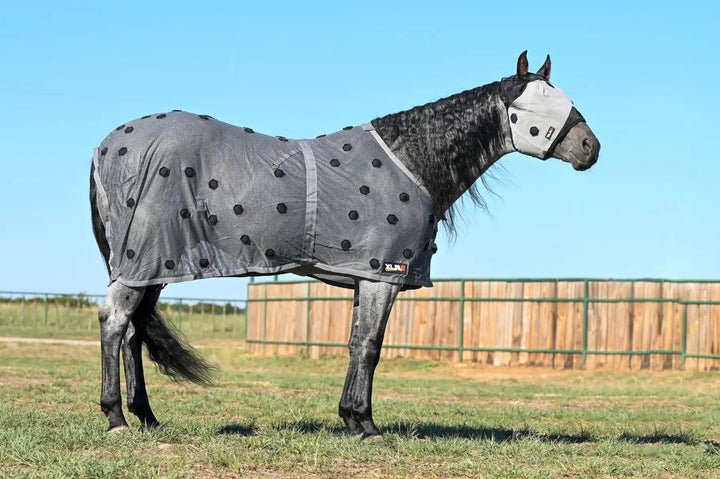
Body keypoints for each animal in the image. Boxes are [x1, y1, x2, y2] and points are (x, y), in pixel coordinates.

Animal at [90, 51, 600, 438]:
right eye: (534, 109)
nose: (591, 149)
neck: (413, 161)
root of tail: (105, 146)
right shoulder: (383, 274)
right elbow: (371, 346)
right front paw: (367, 425)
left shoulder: (363, 275)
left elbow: (355, 343)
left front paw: (351, 420)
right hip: (143, 258)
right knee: (114, 322)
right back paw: (116, 417)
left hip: (154, 266)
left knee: (133, 330)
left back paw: (148, 417)